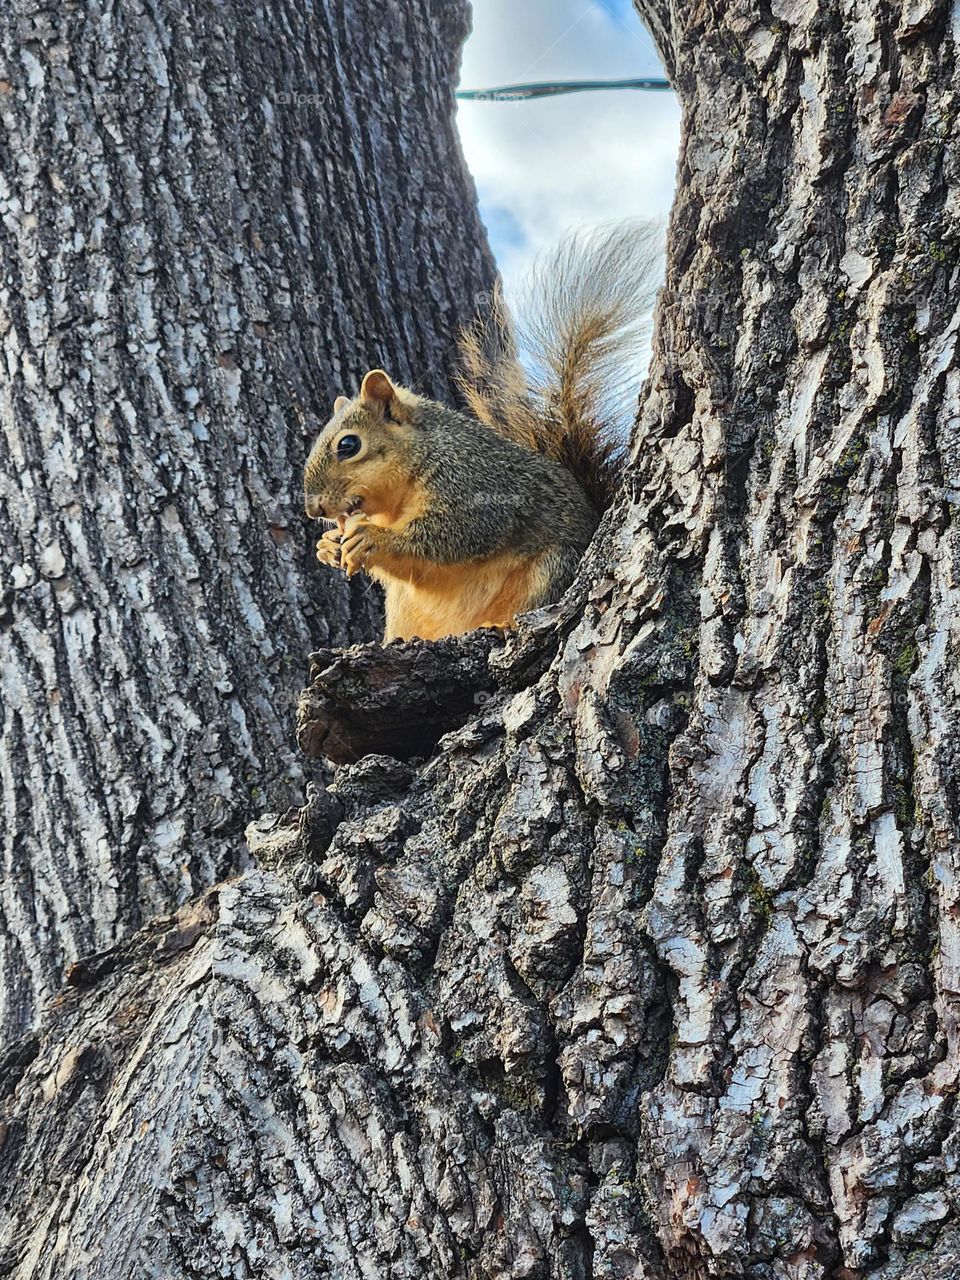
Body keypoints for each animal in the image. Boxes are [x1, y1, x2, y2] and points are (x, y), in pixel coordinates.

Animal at [303, 222, 660, 643]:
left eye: (348, 445)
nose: (314, 509)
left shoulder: (474, 482)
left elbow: (460, 532)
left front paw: (374, 538)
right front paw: (328, 545)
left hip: (552, 568)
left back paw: (500, 623)